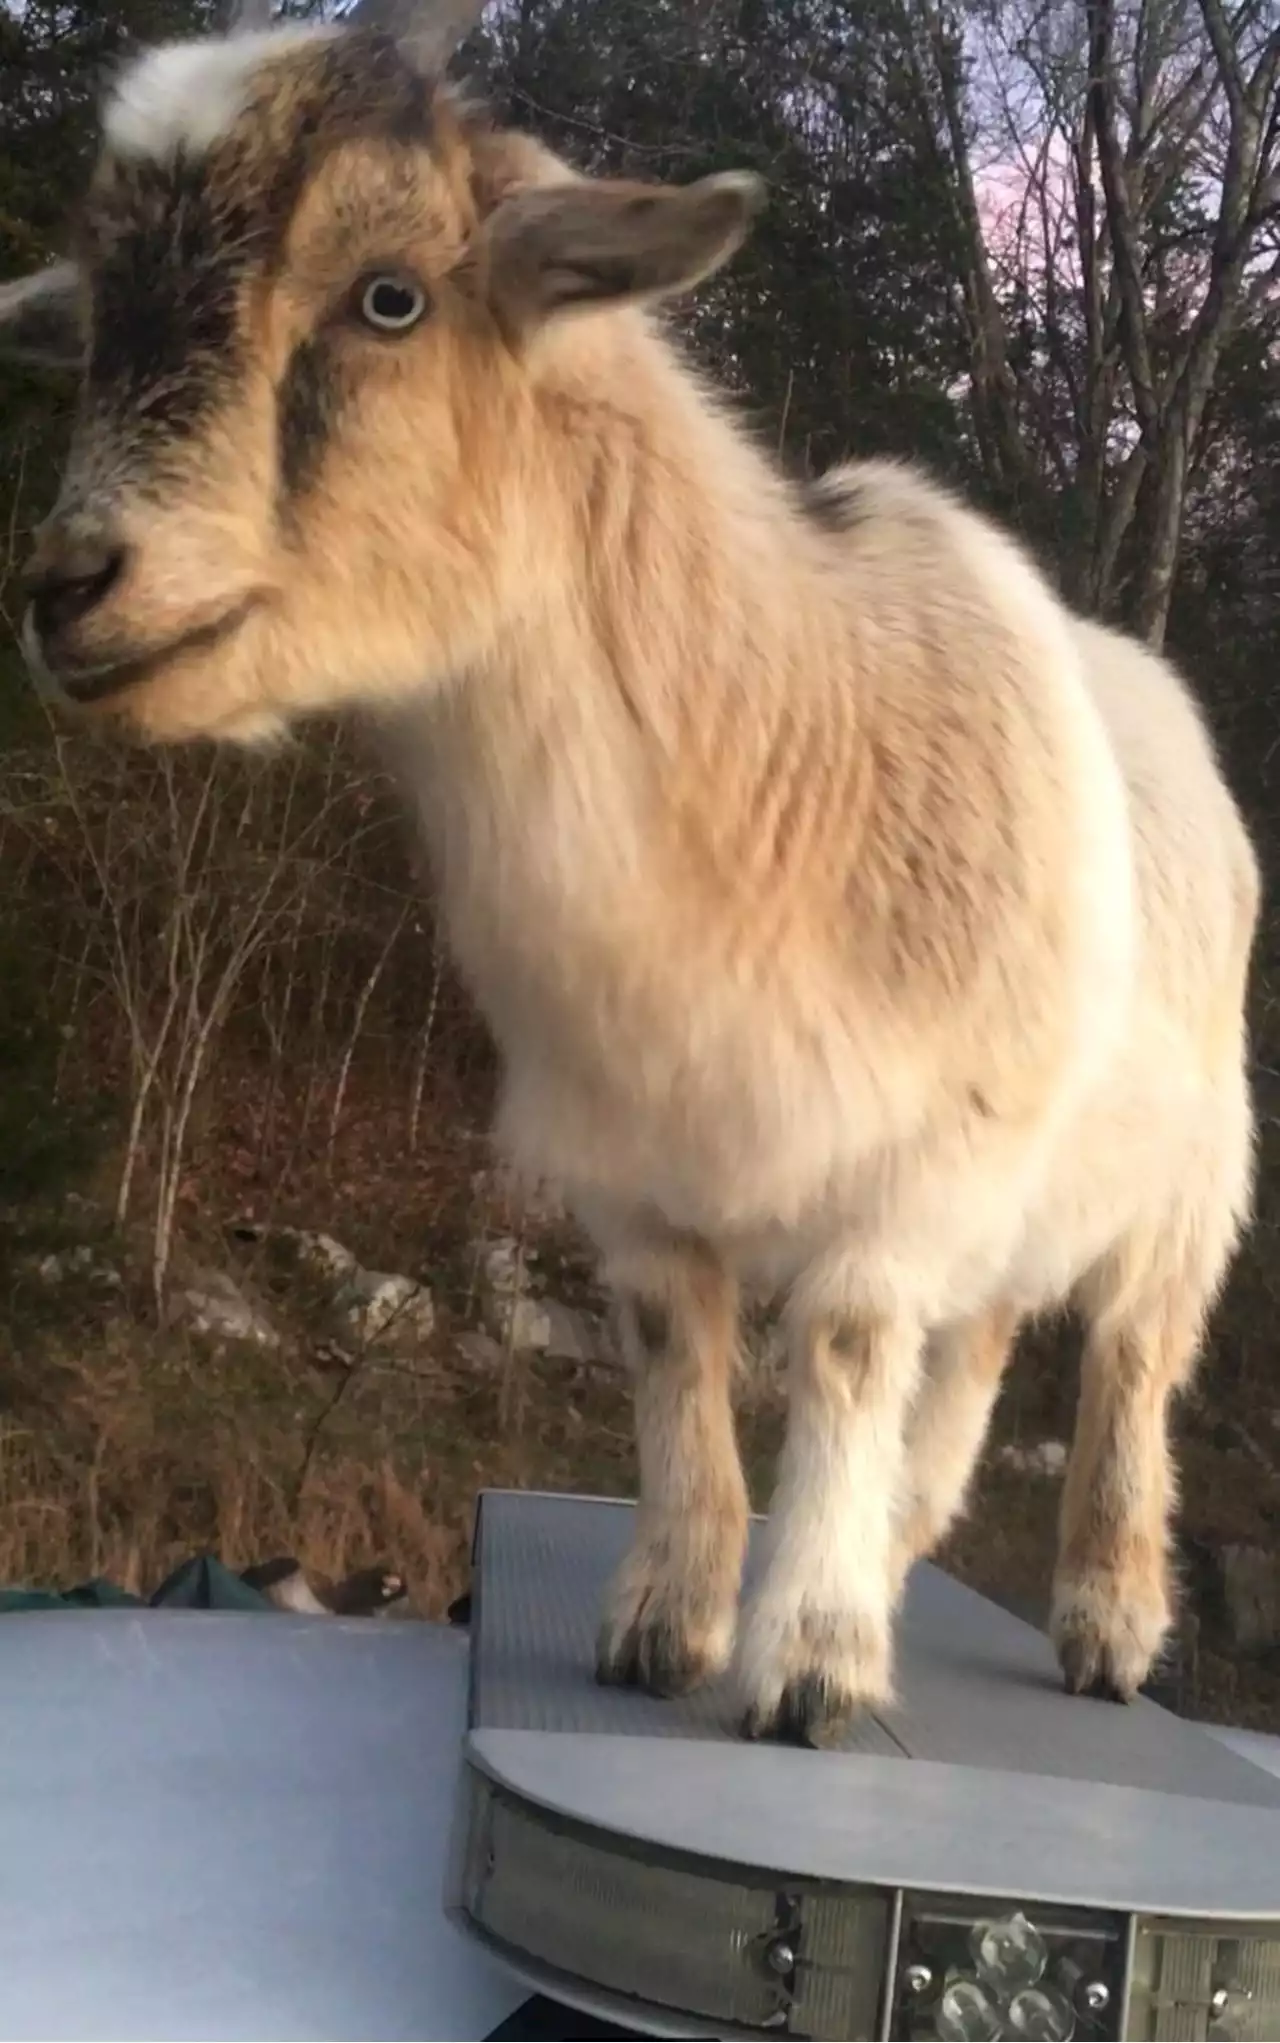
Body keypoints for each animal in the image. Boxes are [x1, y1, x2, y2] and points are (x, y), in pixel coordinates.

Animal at [2, 0, 1265, 1748]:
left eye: (389, 294)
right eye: (101, 315)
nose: (72, 589)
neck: (774, 751)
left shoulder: (916, 1158)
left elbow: (846, 1346)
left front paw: (810, 1661)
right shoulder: (635, 1164)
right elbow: (677, 1358)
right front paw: (665, 1621)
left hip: (1189, 1175)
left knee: (1133, 1363)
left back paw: (1106, 1621)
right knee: (984, 1338)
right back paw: (910, 1531)